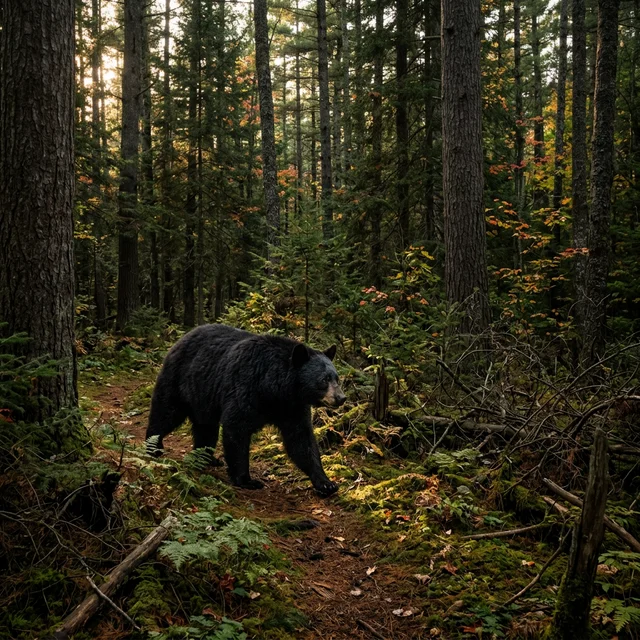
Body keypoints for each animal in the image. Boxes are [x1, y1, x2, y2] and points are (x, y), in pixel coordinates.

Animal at [144, 324, 346, 496]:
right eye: (324, 380)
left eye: (337, 378)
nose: (341, 398)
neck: (276, 389)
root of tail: (182, 338)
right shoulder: (247, 387)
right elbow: (237, 428)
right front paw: (247, 480)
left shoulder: (292, 408)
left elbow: (302, 440)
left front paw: (326, 483)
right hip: (180, 380)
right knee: (166, 412)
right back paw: (154, 447)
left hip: (203, 395)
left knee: (205, 426)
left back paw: (207, 457)